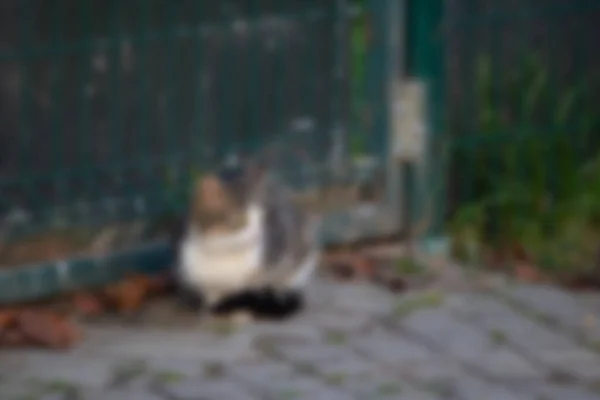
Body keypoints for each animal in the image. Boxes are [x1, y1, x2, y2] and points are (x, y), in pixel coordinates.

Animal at [173, 159, 322, 322]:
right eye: (241, 220)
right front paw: (209, 314)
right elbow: (210, 303)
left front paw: (243, 312)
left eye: (261, 218)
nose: (257, 235)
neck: (221, 257)